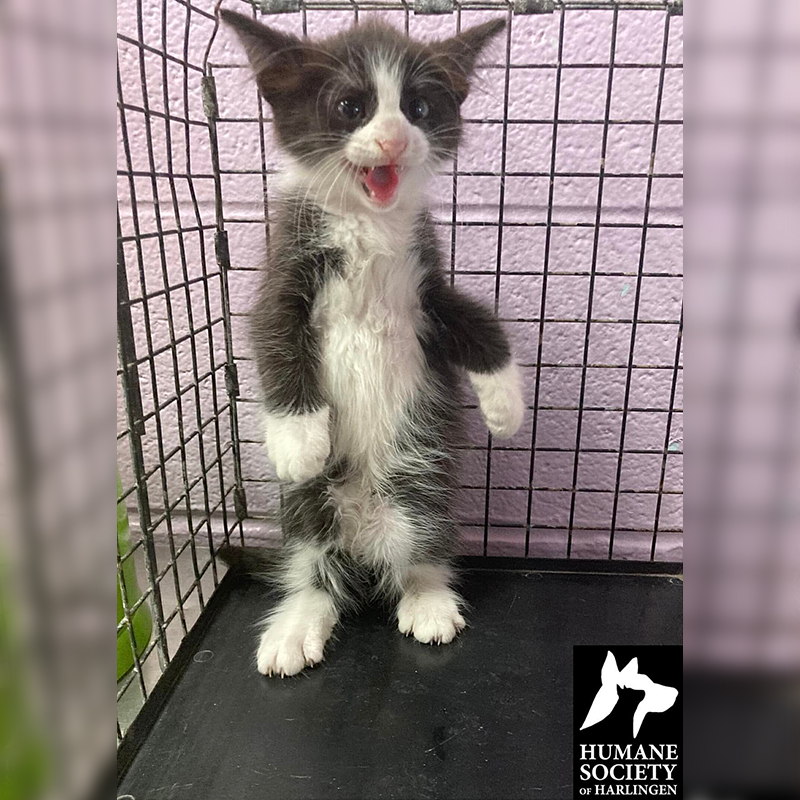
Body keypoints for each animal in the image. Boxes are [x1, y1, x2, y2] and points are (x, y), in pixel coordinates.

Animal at [220, 10, 524, 676]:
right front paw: (298, 438)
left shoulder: (425, 290)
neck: (368, 223)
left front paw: (506, 404)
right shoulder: (284, 275)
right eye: (351, 107)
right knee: (314, 568)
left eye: (417, 107)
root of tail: (364, 542)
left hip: (424, 488)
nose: (393, 140)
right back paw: (299, 621)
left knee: (422, 547)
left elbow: (477, 321)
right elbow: (274, 340)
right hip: (306, 511)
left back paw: (427, 596)